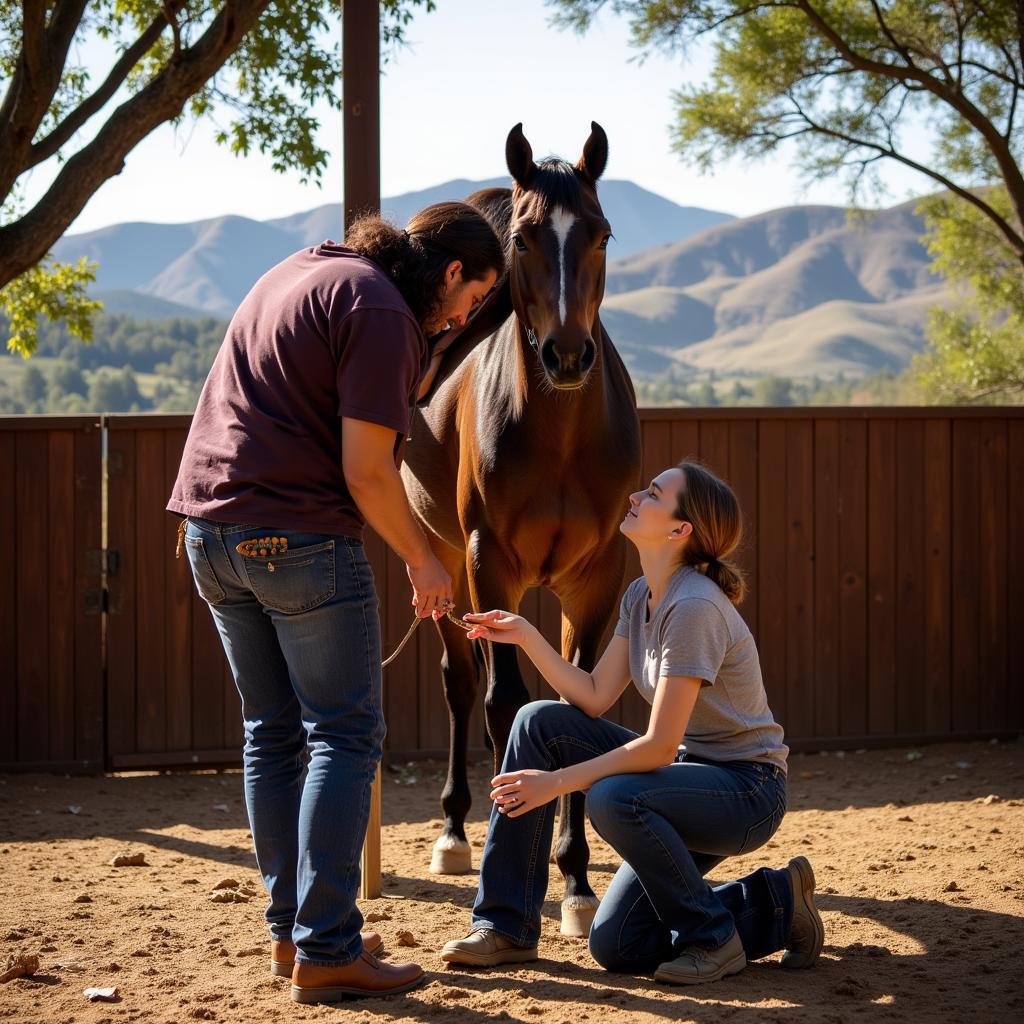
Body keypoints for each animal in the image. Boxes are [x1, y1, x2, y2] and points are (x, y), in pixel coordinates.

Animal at [399, 121, 638, 937]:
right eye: (525, 237)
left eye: (601, 233)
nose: (566, 355)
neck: (560, 434)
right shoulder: (488, 562)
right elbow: (505, 701)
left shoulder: (597, 578)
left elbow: (572, 706)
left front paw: (575, 880)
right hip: (444, 568)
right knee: (460, 682)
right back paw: (451, 832)